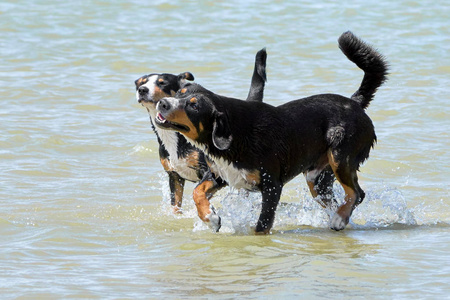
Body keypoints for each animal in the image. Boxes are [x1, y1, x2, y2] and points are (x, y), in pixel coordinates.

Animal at [134, 49, 268, 212]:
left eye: (162, 83)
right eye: (142, 82)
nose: (142, 90)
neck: (176, 136)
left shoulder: (213, 173)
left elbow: (198, 191)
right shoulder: (174, 176)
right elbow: (176, 205)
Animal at [154, 31, 386, 233]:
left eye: (193, 106)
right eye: (180, 93)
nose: (163, 103)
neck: (238, 134)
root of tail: (355, 102)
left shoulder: (272, 185)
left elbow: (263, 223)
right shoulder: (221, 174)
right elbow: (197, 192)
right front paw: (210, 218)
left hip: (341, 158)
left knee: (357, 193)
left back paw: (339, 218)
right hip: (318, 179)